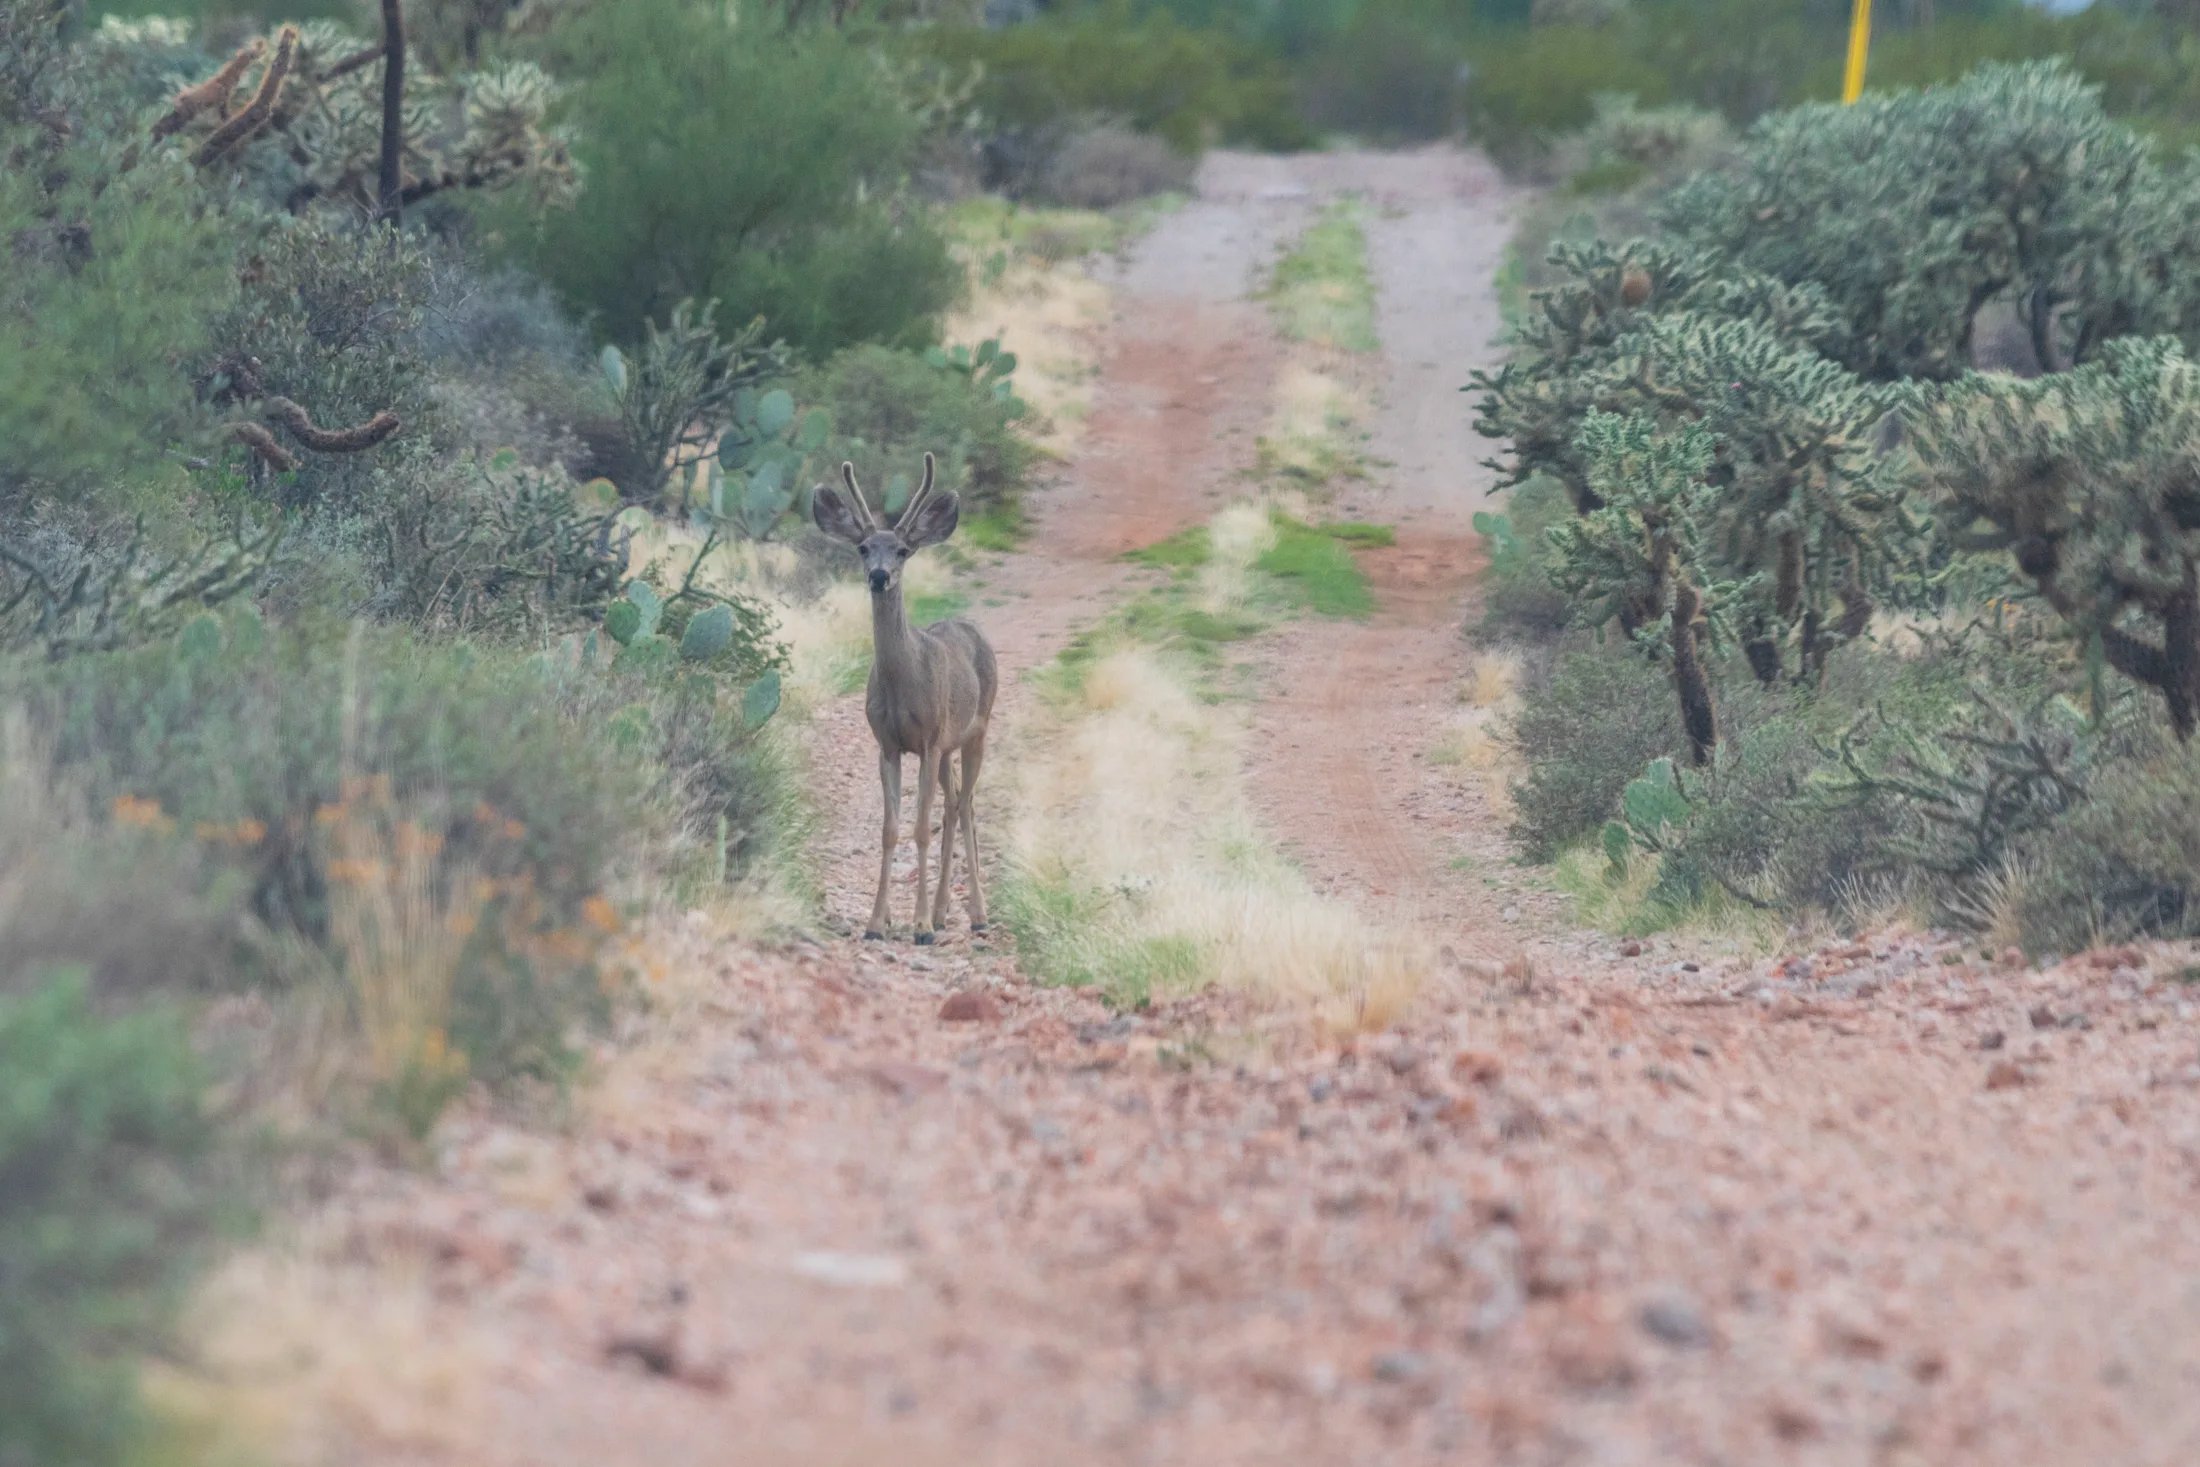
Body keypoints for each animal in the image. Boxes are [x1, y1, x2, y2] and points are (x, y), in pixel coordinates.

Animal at [812, 452, 998, 944]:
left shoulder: (929, 740)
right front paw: (879, 923)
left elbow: (919, 828)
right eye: (862, 548)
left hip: (977, 729)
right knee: (954, 804)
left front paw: (919, 926)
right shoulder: (888, 744)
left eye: (902, 551)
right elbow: (890, 829)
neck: (903, 684)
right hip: (949, 748)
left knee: (966, 805)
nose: (879, 576)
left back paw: (975, 914)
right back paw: (944, 910)